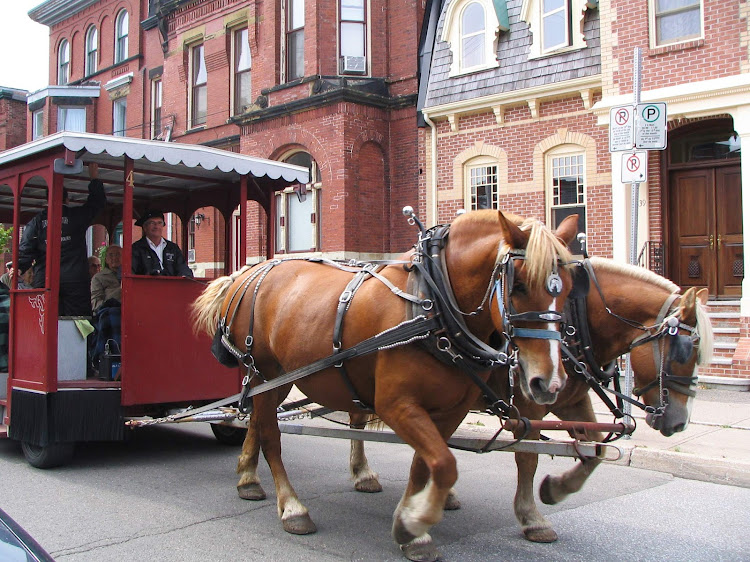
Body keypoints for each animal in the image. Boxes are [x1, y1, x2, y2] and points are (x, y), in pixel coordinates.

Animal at [195, 210, 580, 560]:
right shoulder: (397, 406)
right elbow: (444, 464)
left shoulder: (450, 411)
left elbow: (427, 464)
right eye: (518, 285)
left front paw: (411, 523)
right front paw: (415, 524)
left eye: (568, 288)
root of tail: (247, 273)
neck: (434, 303)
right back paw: (292, 507)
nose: (549, 381)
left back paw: (248, 479)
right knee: (271, 435)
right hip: (264, 371)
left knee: (257, 423)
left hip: (275, 381)